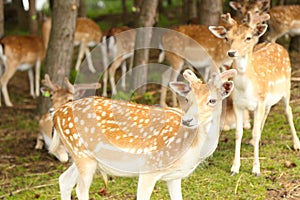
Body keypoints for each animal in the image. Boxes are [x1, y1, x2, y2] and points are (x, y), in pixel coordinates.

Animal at [49, 68, 237, 199]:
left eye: (212, 100)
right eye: (187, 99)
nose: (188, 120)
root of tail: (56, 115)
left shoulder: (174, 177)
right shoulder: (149, 169)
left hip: (82, 155)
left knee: (64, 180)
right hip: (82, 154)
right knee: (80, 189)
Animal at [209, 11, 300, 176]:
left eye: (248, 38)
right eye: (227, 38)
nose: (231, 52)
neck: (246, 89)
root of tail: (277, 44)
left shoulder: (260, 102)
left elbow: (256, 132)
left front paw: (256, 169)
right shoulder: (239, 104)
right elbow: (238, 133)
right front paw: (234, 168)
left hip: (287, 88)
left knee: (288, 111)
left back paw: (296, 144)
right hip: (269, 98)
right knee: (268, 112)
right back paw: (252, 141)